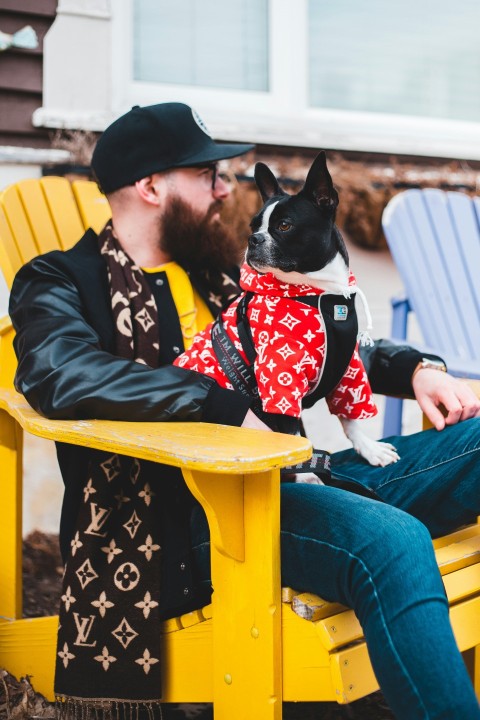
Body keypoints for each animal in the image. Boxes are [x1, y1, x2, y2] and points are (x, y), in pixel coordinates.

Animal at [174, 150, 400, 470]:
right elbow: (291, 437)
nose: (253, 239)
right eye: (252, 226)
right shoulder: (280, 375)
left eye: (284, 226)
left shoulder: (349, 370)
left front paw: (369, 449)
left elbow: (350, 416)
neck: (322, 296)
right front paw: (305, 472)